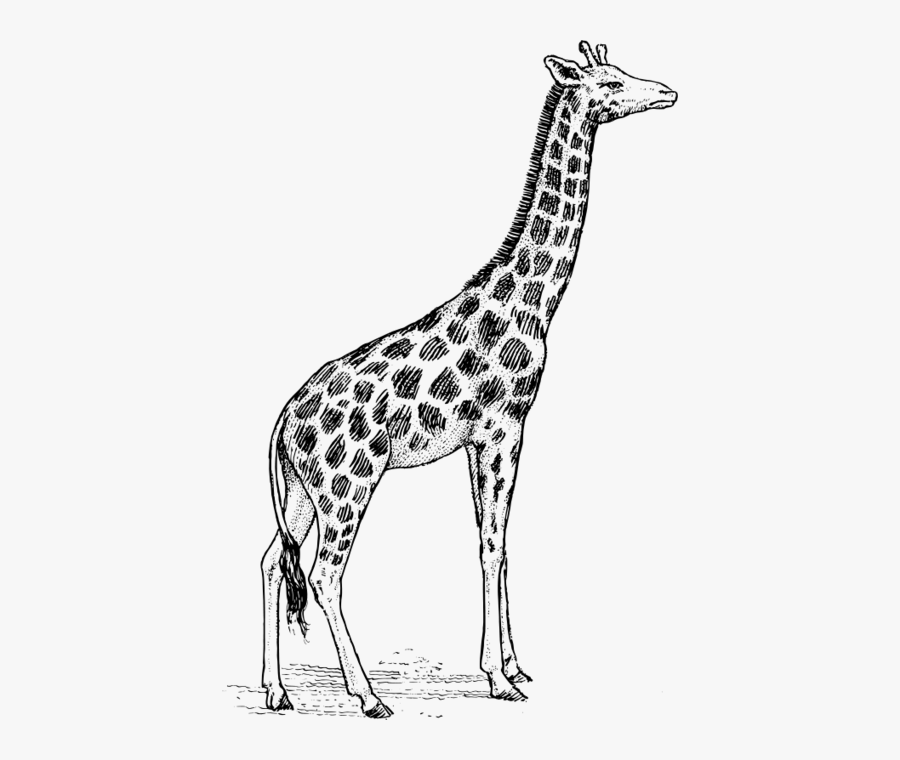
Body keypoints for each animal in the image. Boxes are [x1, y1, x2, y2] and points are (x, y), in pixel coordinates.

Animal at [260, 41, 677, 718]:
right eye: (612, 83)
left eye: (624, 72)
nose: (667, 91)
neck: (534, 302)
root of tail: (280, 430)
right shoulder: (503, 429)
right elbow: (491, 545)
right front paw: (499, 679)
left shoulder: (485, 439)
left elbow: (499, 543)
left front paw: (514, 665)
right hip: (348, 488)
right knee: (324, 575)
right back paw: (367, 696)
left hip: (301, 494)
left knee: (275, 560)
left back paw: (276, 690)